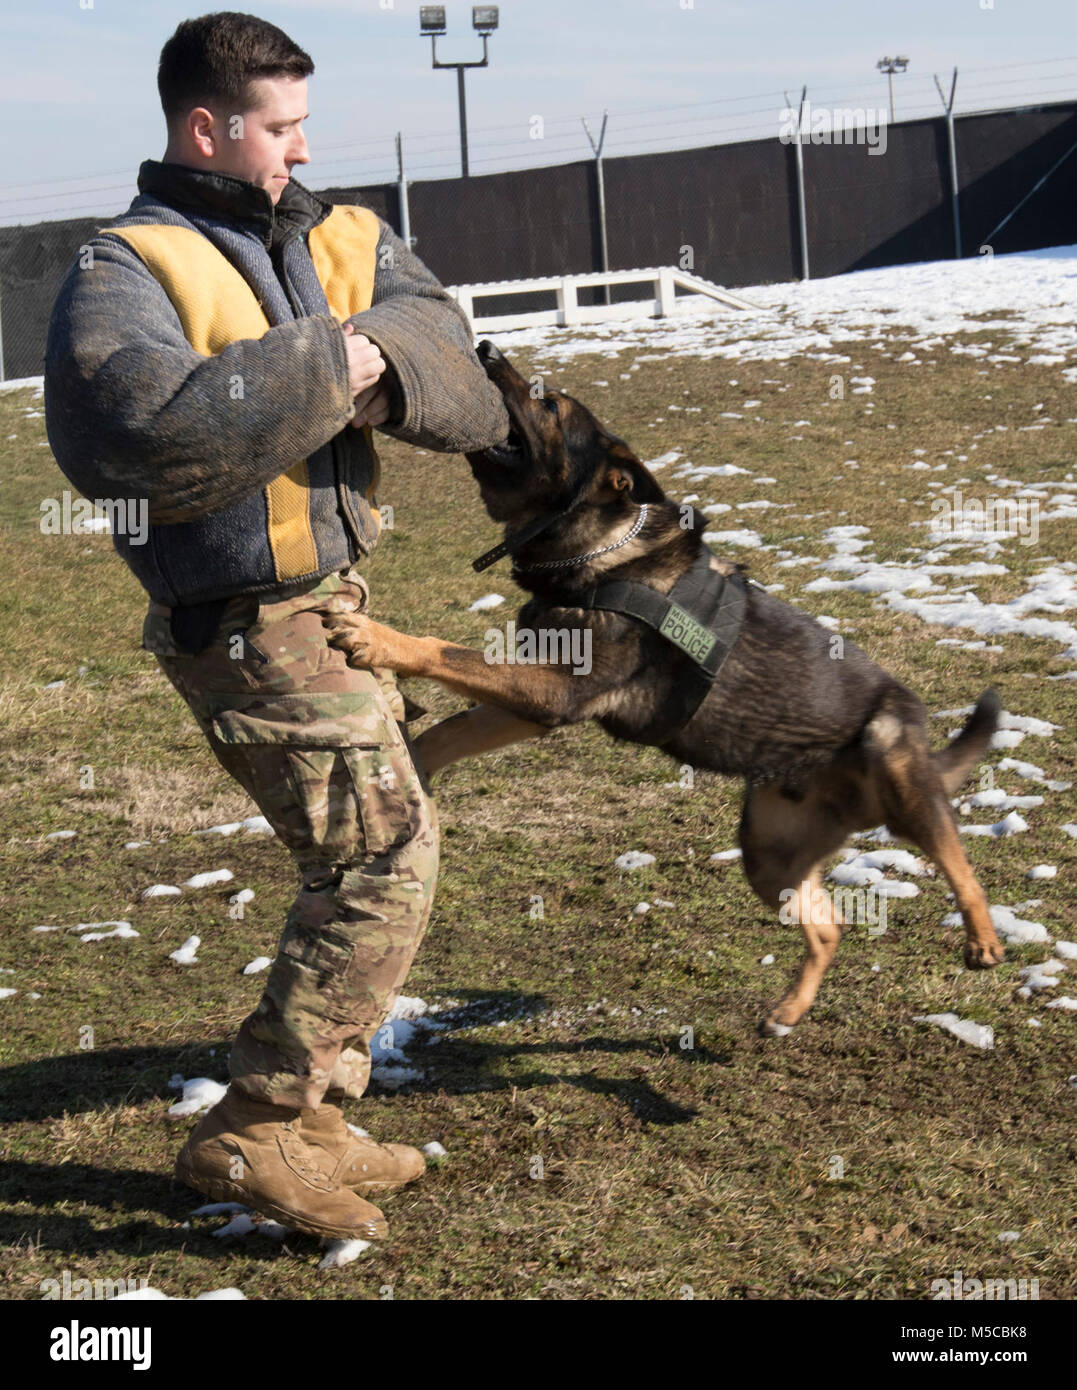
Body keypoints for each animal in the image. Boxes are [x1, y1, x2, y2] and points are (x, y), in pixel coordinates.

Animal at [323, 339, 1006, 1034]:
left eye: (549, 401)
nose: (484, 347)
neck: (595, 550)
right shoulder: (539, 700)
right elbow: (449, 730)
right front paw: (412, 768)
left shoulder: (555, 691)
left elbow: (443, 652)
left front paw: (376, 638)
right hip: (768, 854)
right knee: (829, 926)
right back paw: (790, 1009)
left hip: (895, 766)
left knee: (957, 858)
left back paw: (982, 939)